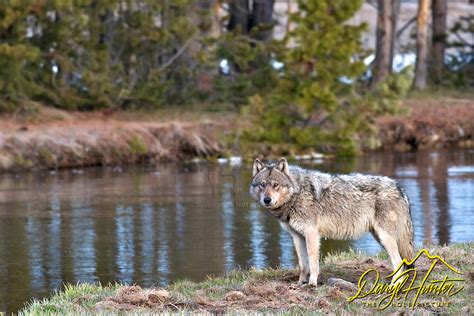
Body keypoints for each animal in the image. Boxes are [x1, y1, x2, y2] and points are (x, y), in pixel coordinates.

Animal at [250, 158, 412, 286]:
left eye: (275, 185)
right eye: (262, 185)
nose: (267, 200)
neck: (297, 193)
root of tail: (399, 187)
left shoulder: (311, 234)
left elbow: (313, 262)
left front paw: (312, 283)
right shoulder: (297, 236)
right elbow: (303, 264)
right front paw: (300, 283)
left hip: (385, 237)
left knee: (399, 263)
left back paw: (393, 286)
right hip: (381, 238)